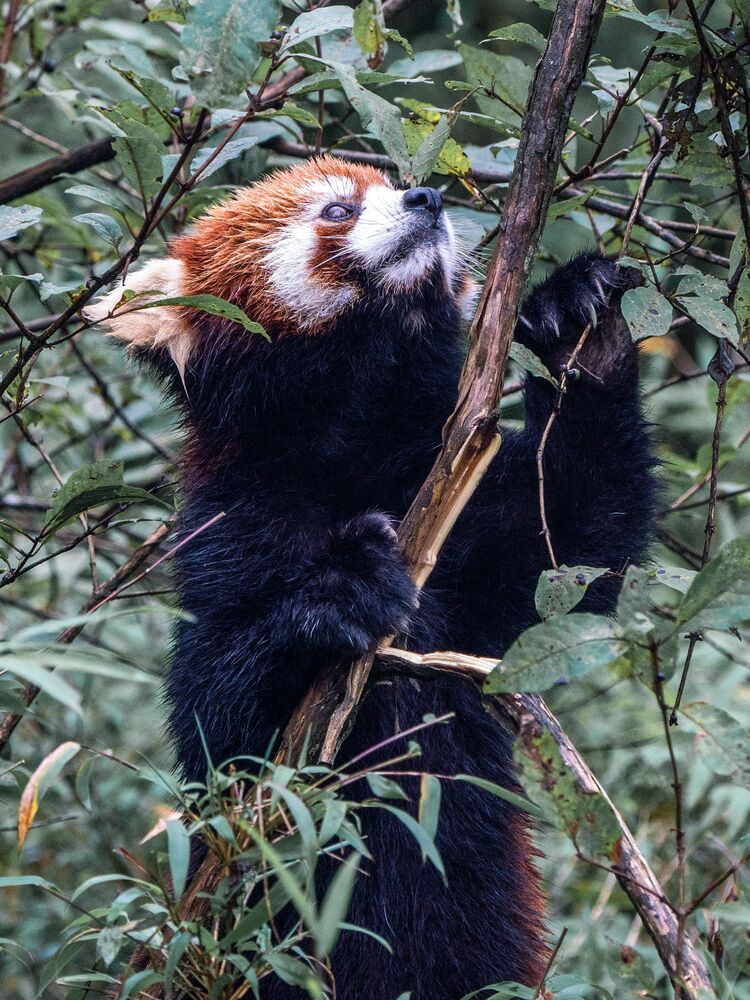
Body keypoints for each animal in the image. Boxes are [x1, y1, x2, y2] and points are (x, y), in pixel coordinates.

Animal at [87, 157, 657, 999]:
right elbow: (220, 728)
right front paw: (342, 590)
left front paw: (578, 326)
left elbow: (576, 549)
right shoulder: (231, 534)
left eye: (395, 184)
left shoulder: (466, 514)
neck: (351, 435)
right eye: (337, 209)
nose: (428, 199)